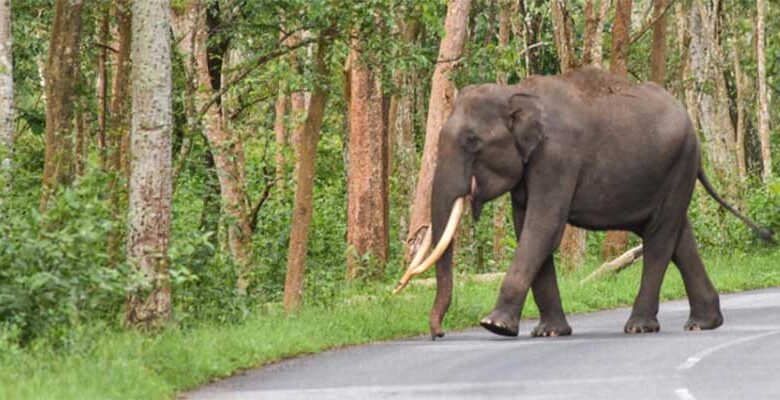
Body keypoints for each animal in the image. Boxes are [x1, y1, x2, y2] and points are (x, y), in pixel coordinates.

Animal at [394, 67, 773, 339]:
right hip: (671, 172)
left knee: (660, 237)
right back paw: (702, 323)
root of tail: (692, 127)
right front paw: (548, 333)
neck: (515, 92)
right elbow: (527, 228)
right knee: (679, 235)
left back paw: (639, 326)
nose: (437, 333)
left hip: (680, 163)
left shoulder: (557, 158)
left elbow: (544, 228)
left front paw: (495, 326)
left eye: (472, 141)